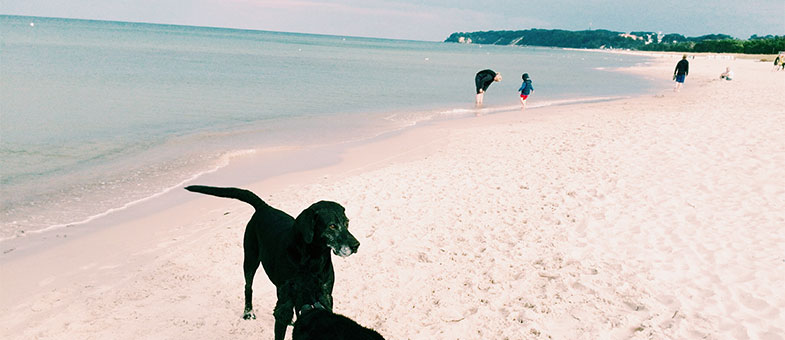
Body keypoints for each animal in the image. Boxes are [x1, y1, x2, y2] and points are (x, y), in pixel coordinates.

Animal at [185, 186, 360, 340]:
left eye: (347, 223)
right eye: (332, 226)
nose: (356, 245)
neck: (313, 256)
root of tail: (264, 207)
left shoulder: (324, 294)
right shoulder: (286, 300)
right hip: (250, 260)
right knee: (248, 287)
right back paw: (248, 312)